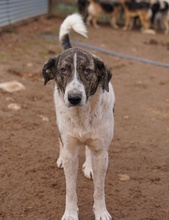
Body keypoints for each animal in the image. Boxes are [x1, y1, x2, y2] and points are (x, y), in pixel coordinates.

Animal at [41, 13, 115, 220]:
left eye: (87, 71)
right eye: (63, 70)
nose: (74, 98)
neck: (82, 116)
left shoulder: (101, 153)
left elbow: (99, 189)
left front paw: (101, 212)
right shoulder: (71, 152)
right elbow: (70, 190)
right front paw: (70, 213)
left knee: (88, 150)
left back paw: (88, 167)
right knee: (61, 142)